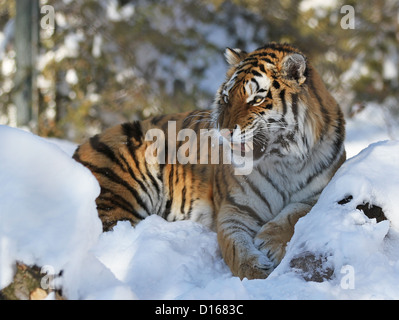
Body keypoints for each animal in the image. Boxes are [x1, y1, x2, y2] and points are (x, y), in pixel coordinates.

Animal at [74, 43, 346, 280]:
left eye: (256, 99)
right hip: (116, 198)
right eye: (226, 98)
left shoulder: (323, 191)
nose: (224, 131)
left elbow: (296, 212)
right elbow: (236, 249)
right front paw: (256, 272)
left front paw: (270, 241)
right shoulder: (235, 209)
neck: (283, 160)